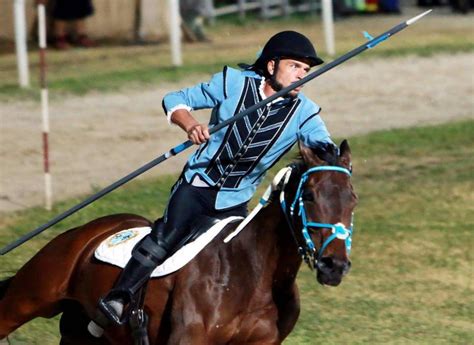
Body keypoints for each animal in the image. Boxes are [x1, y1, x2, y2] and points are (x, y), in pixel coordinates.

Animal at [0, 140, 356, 344]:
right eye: (309, 196)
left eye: (352, 199)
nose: (334, 266)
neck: (252, 272)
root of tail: (82, 235)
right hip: (27, 298)